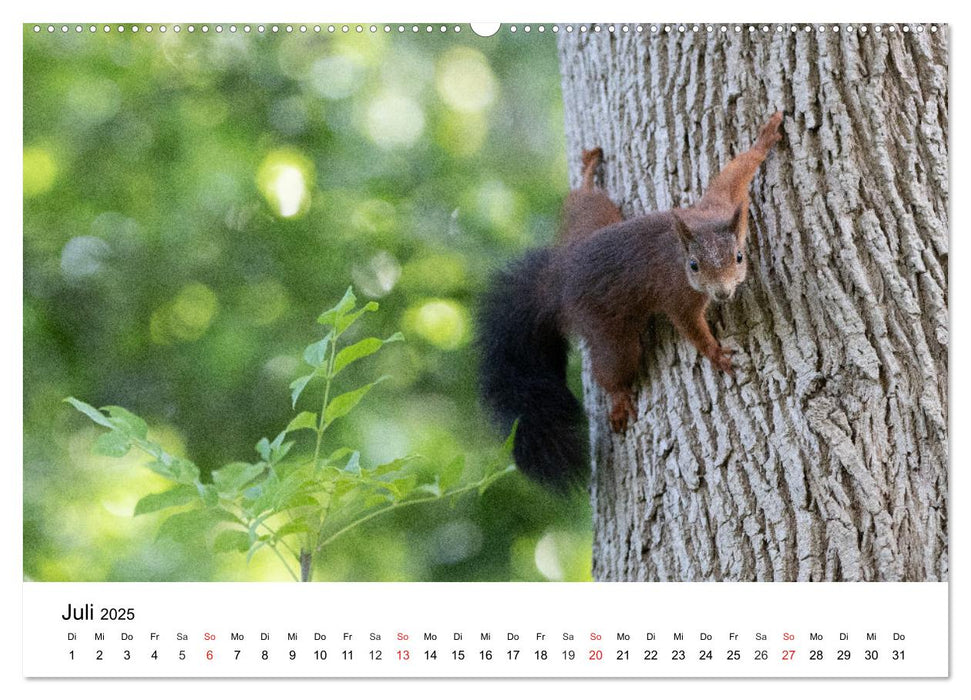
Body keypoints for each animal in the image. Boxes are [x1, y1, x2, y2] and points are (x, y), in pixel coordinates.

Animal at [478, 112, 788, 490]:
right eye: (694, 266)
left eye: (739, 257)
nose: (722, 293)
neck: (684, 245)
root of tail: (559, 282)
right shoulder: (678, 295)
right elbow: (690, 327)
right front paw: (715, 353)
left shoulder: (720, 207)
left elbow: (732, 175)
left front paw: (763, 141)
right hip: (610, 333)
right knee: (611, 368)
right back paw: (619, 399)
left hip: (592, 220)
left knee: (585, 203)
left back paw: (586, 177)